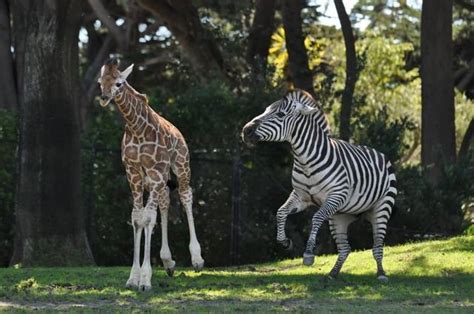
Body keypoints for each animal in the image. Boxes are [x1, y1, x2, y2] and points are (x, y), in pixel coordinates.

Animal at [98, 57, 204, 290]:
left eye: (119, 83)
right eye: (100, 82)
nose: (104, 98)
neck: (136, 129)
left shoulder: (156, 171)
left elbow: (147, 218)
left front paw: (145, 280)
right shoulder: (133, 173)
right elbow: (137, 218)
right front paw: (133, 278)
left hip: (181, 166)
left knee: (185, 196)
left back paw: (197, 259)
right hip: (157, 180)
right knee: (164, 203)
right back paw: (168, 262)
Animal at [241, 89, 396, 282]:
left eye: (280, 114)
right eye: (265, 110)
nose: (246, 131)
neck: (305, 160)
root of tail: (377, 152)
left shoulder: (336, 196)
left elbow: (315, 218)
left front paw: (308, 254)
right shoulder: (300, 196)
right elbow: (281, 212)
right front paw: (285, 242)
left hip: (381, 208)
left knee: (377, 246)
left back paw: (381, 274)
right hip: (340, 217)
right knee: (345, 248)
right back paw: (333, 274)